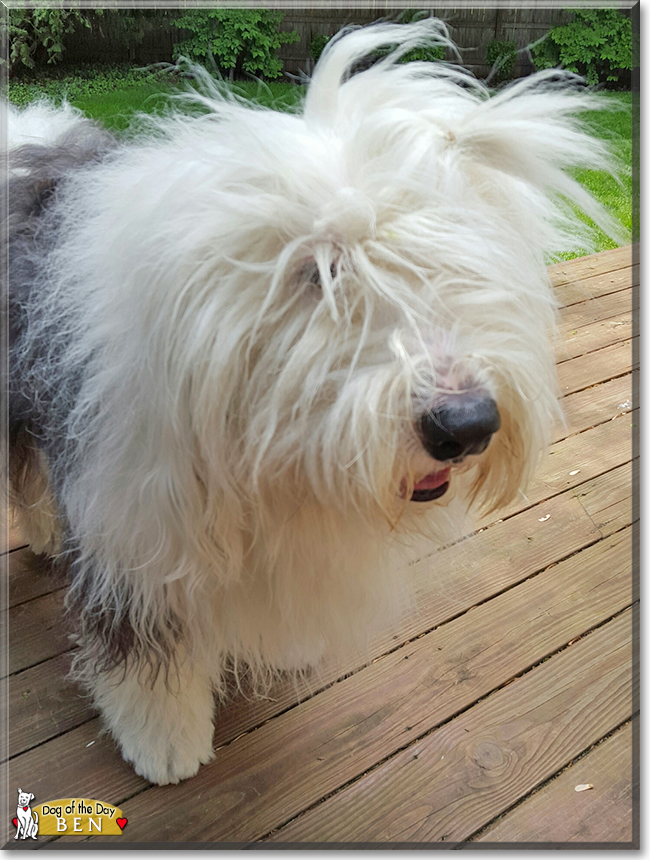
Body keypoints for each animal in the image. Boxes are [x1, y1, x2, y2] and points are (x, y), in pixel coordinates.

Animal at [2, 20, 620, 788]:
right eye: (322, 272)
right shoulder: (137, 523)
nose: (467, 425)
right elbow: (149, 648)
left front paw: (287, 644)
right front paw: (164, 741)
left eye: (457, 264)